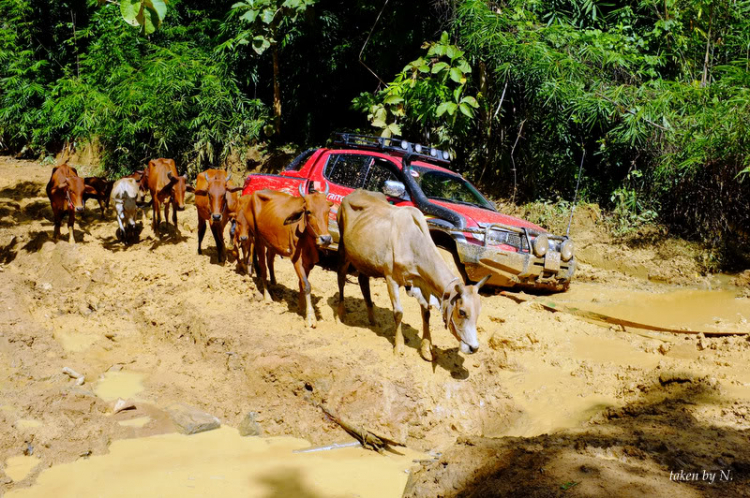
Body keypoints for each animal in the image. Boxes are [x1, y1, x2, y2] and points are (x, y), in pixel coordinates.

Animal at [336, 189, 490, 360]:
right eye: (462, 311)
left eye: (479, 311)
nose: (473, 348)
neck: (413, 243)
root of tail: (353, 194)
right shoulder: (391, 279)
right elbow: (398, 313)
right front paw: (399, 346)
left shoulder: (423, 284)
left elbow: (426, 313)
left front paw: (426, 348)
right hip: (343, 249)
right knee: (341, 277)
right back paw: (341, 313)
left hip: (364, 260)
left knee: (363, 281)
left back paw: (372, 319)